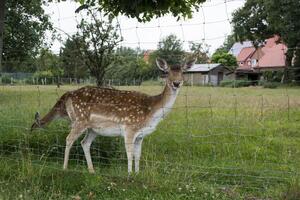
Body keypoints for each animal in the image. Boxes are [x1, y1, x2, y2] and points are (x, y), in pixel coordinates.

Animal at [31, 57, 197, 173]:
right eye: (167, 72)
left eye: (183, 72)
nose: (176, 83)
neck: (151, 113)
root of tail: (69, 94)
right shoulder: (129, 128)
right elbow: (129, 154)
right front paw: (129, 174)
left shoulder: (141, 135)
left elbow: (138, 155)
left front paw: (138, 174)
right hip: (80, 120)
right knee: (69, 139)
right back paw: (65, 168)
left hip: (93, 128)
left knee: (85, 143)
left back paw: (92, 170)